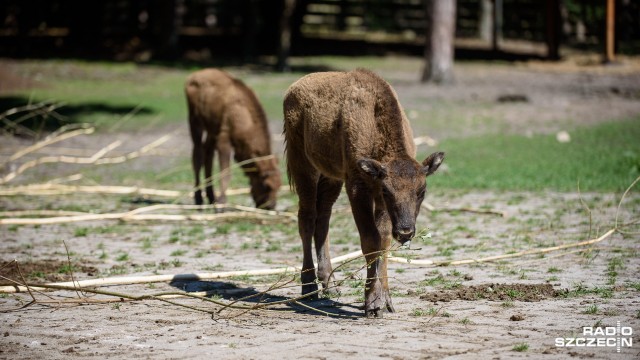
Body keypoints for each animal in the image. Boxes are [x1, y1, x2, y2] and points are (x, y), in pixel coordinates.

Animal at [188, 69, 282, 210]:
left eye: (279, 185)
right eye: (266, 185)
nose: (270, 206)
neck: (244, 114)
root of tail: (194, 75)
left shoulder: (218, 135)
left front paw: (218, 202)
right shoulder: (224, 141)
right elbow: (225, 172)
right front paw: (221, 205)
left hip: (211, 130)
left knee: (207, 154)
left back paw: (211, 197)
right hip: (195, 121)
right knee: (197, 155)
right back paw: (199, 200)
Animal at [282, 69, 442, 316]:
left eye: (422, 191)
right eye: (387, 191)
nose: (405, 232)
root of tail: (294, 88)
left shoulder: (378, 203)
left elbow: (383, 240)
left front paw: (386, 300)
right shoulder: (358, 189)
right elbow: (370, 240)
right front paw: (373, 303)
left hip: (331, 177)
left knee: (323, 220)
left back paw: (330, 284)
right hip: (304, 166)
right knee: (306, 219)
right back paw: (309, 286)